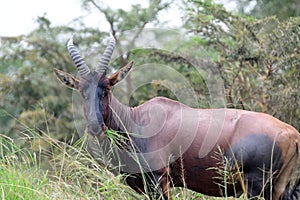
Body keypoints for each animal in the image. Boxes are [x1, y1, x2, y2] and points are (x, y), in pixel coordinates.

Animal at [54, 35, 300, 199]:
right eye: (82, 91)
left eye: (106, 89)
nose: (95, 127)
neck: (137, 121)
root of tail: (292, 133)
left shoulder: (159, 182)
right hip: (278, 186)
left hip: (256, 185)